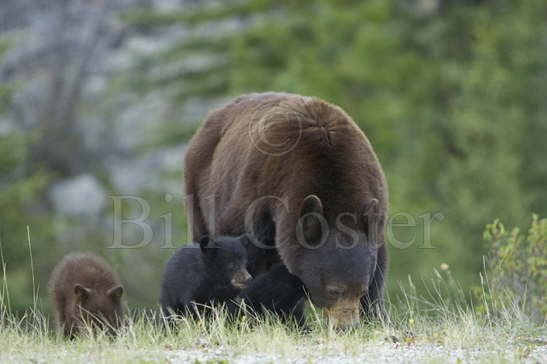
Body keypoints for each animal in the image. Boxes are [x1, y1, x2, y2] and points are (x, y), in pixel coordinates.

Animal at [185, 93, 390, 328]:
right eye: (334, 290)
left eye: (360, 290)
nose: (346, 327)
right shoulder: (258, 196)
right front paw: (241, 315)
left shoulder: (373, 198)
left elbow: (378, 267)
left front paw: (375, 316)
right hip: (200, 189)